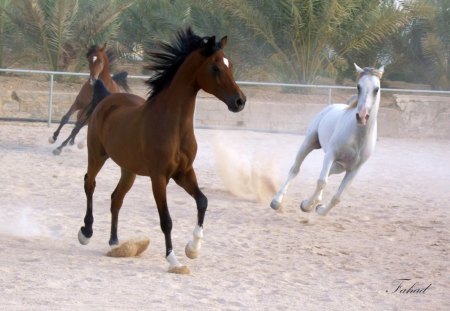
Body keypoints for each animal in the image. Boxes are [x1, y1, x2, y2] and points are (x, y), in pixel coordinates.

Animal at [77, 28, 246, 274]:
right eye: (215, 67)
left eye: (230, 64)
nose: (240, 101)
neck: (172, 126)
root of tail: (107, 98)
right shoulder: (159, 178)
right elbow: (166, 220)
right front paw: (174, 260)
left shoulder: (184, 173)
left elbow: (203, 201)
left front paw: (193, 249)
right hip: (97, 155)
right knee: (90, 183)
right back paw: (86, 233)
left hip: (129, 169)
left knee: (116, 198)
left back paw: (115, 242)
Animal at [270, 63, 384, 214]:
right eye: (358, 86)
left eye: (376, 89)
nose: (362, 116)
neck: (357, 138)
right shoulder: (331, 154)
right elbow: (321, 182)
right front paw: (307, 205)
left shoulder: (354, 169)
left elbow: (337, 197)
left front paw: (319, 209)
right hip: (310, 142)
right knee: (295, 169)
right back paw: (276, 201)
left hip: (340, 166)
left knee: (328, 173)